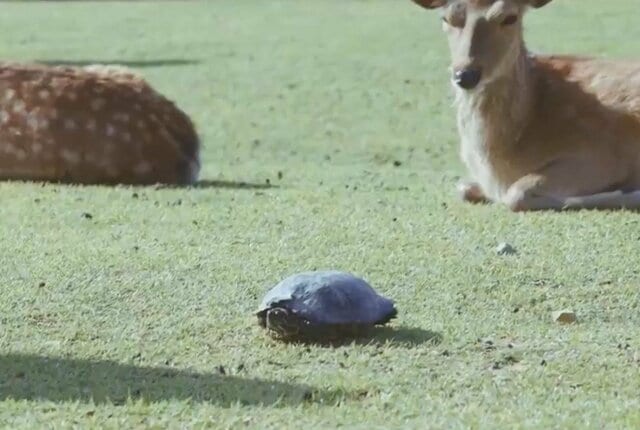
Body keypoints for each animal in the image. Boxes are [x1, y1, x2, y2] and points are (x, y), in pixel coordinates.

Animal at [410, 0, 640, 211]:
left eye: (510, 17)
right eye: (446, 18)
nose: (465, 75)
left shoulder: (603, 155)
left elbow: (517, 193)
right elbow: (463, 187)